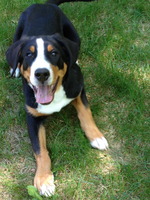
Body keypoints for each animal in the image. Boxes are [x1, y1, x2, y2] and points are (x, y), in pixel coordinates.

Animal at [5, 0, 108, 197]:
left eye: (54, 53)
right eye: (28, 54)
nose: (41, 73)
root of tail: (43, 4)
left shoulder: (78, 88)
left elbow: (86, 113)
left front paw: (96, 136)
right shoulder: (32, 117)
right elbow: (40, 150)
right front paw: (44, 180)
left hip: (74, 34)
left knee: (75, 51)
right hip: (17, 33)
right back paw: (14, 69)